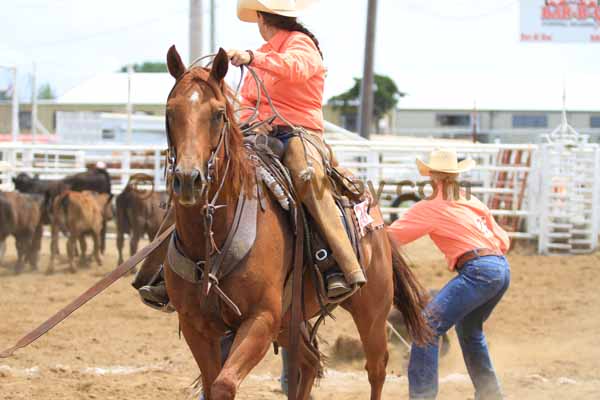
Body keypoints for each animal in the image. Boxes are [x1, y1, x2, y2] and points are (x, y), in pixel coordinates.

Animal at [162, 47, 428, 400]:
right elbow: (210, 382)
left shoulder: (261, 319)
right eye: (170, 111)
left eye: (218, 113)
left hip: (371, 310)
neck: (212, 236)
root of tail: (376, 221)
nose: (188, 179)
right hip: (291, 320)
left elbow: (223, 385)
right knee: (310, 362)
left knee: (376, 368)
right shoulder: (196, 326)